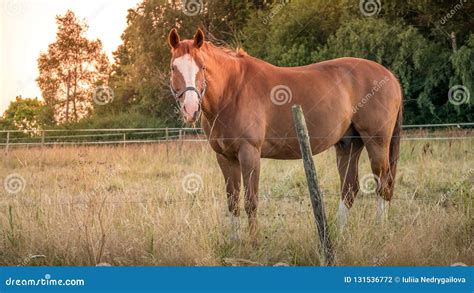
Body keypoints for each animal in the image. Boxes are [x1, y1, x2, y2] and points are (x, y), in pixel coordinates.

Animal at [168, 28, 402, 241]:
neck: (232, 90)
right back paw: (337, 233)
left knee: (383, 184)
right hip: (348, 145)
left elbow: (250, 201)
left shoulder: (249, 153)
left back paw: (379, 233)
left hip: (376, 143)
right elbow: (232, 201)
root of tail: (390, 77)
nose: (190, 108)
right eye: (173, 67)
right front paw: (235, 243)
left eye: (202, 67)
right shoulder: (225, 157)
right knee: (350, 188)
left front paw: (254, 244)